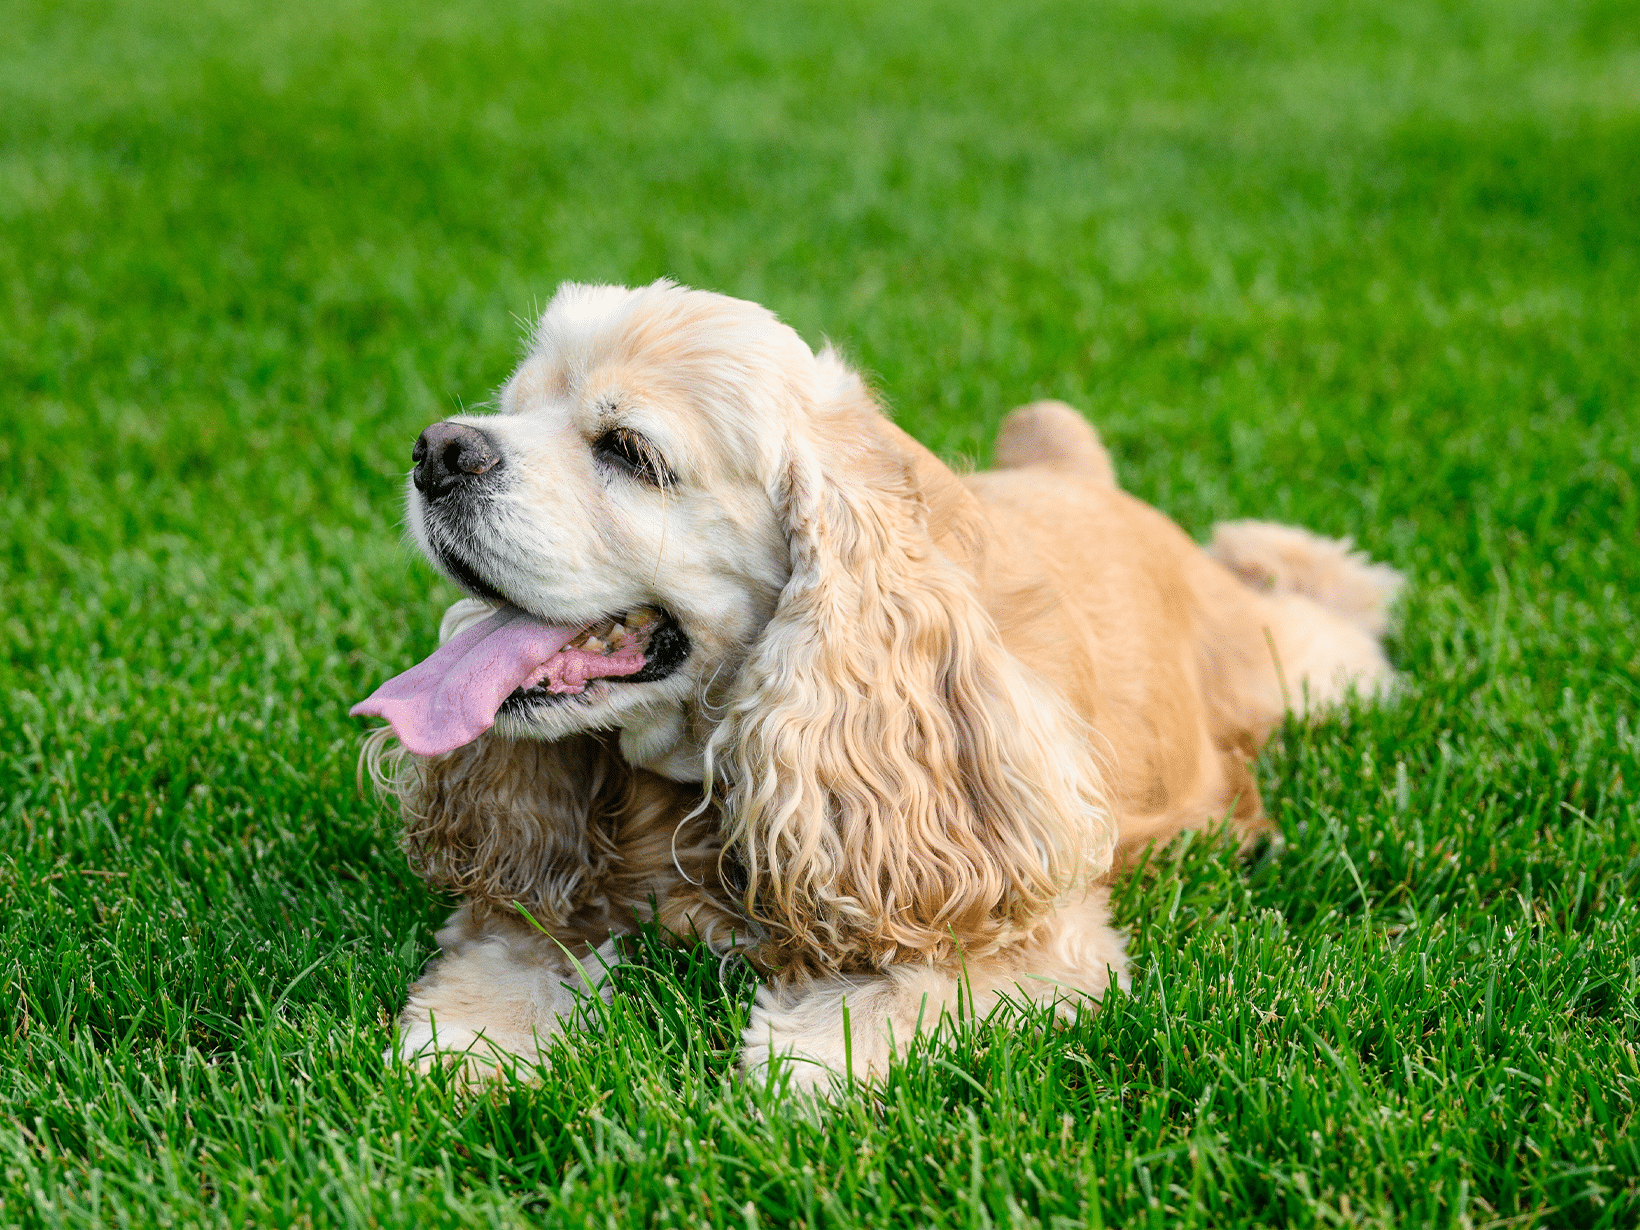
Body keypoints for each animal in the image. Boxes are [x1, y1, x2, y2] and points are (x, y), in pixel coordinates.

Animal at [352, 278, 1403, 1088]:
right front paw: (472, 1049)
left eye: (629, 451)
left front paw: (797, 1071)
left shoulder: (1035, 932)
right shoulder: (540, 892)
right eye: (511, 404)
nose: (438, 449)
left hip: (1288, 659)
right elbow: (509, 953)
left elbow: (896, 996)